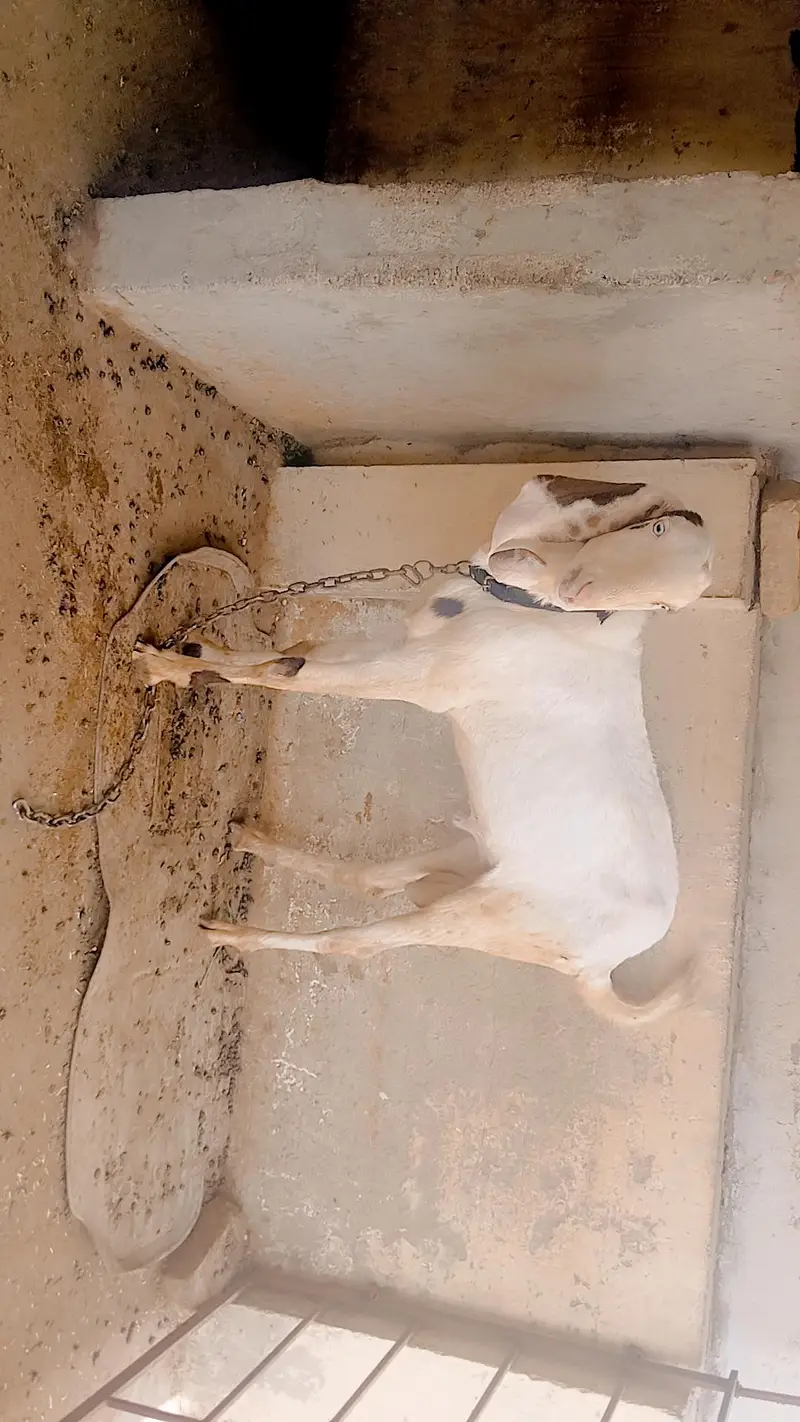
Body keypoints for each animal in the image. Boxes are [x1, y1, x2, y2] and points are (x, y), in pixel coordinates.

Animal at [134, 474, 713, 1024]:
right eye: (656, 528)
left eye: (664, 603)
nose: (573, 590)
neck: (526, 607)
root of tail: (602, 968)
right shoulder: (403, 647)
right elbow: (293, 653)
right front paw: (199, 654)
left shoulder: (420, 676)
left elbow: (290, 675)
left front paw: (166, 667)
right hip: (468, 856)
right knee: (369, 879)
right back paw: (250, 840)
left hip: (488, 917)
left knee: (355, 943)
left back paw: (235, 936)